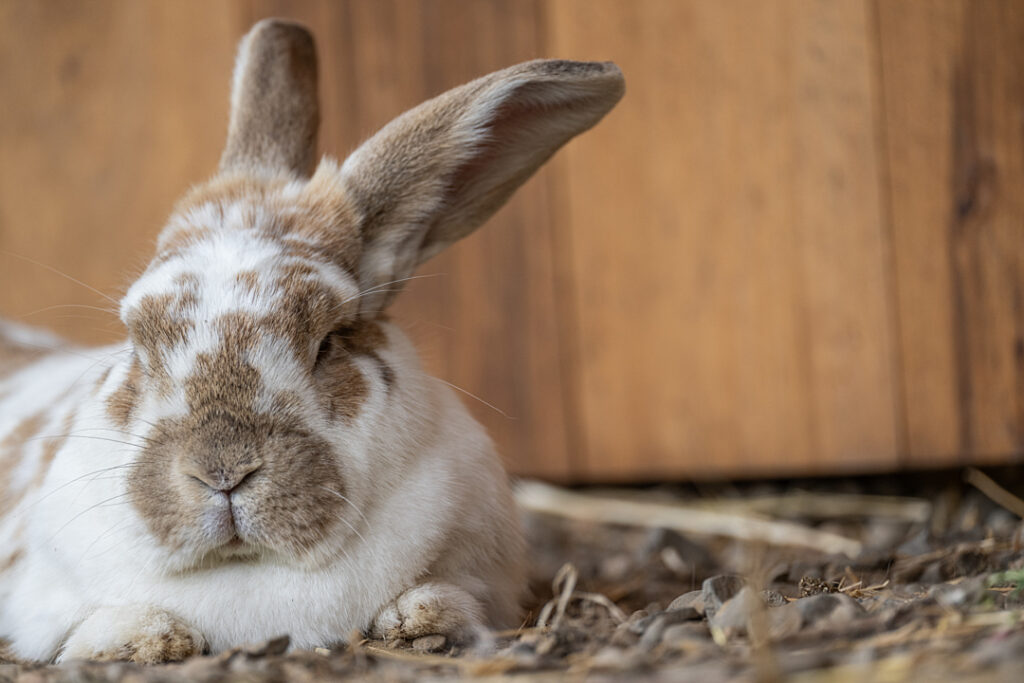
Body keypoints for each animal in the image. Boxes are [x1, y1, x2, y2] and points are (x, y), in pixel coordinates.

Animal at [0, 19, 624, 663]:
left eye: (326, 342)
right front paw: (145, 638)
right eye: (138, 345)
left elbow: (443, 599)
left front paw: (422, 619)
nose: (222, 473)